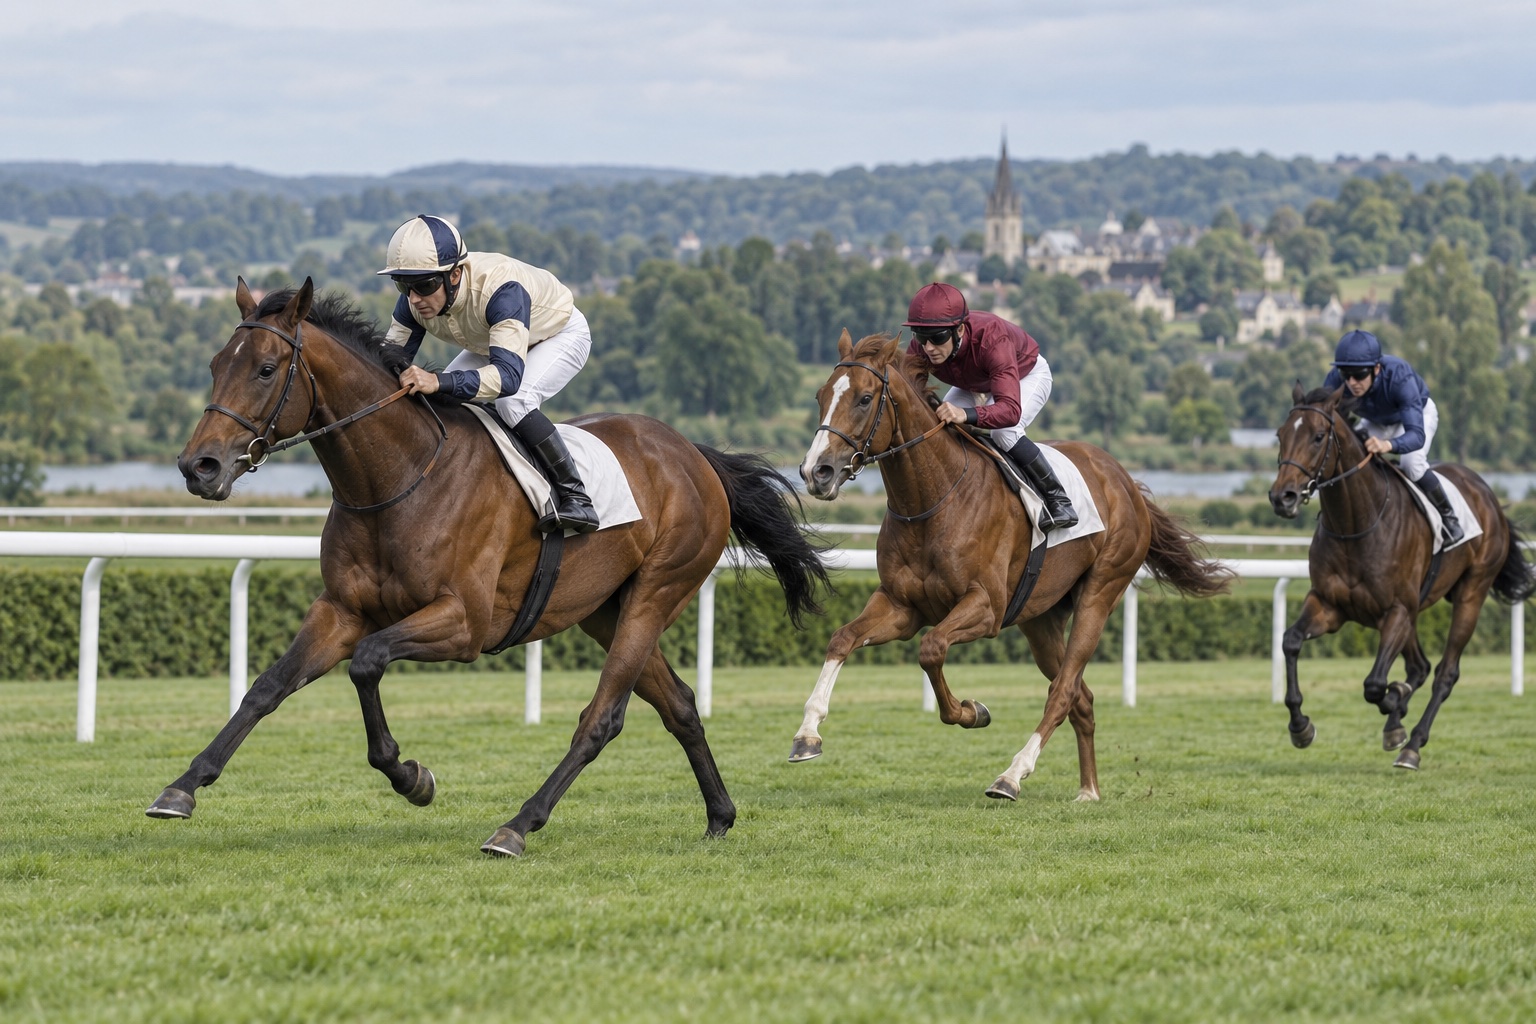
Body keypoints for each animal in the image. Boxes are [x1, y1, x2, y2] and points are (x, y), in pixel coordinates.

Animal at [148, 278, 829, 857]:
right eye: (216, 365)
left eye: (265, 369)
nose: (198, 467)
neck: (399, 478)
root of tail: (693, 454)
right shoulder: (340, 609)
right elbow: (268, 686)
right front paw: (181, 787)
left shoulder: (465, 623)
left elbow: (367, 662)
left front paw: (411, 776)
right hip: (604, 608)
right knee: (680, 704)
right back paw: (719, 815)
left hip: (658, 591)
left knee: (601, 718)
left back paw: (517, 826)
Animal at [794, 331, 1232, 800]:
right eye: (820, 395)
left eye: (864, 398)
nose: (815, 472)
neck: (933, 501)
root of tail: (1125, 480)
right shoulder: (901, 606)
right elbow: (842, 638)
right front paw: (807, 735)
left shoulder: (986, 608)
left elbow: (932, 649)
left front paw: (972, 711)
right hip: (1039, 619)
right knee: (1081, 697)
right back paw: (1088, 790)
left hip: (1100, 592)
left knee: (1063, 690)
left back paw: (1012, 775)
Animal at [1268, 383, 1534, 769]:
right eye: (1280, 435)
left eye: (1318, 437)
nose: (1282, 497)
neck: (1355, 525)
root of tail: (1489, 496)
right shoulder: (1330, 605)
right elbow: (1290, 641)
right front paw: (1300, 726)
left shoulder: (1395, 610)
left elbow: (1375, 684)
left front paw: (1395, 709)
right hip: (1413, 610)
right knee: (1420, 667)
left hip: (1471, 592)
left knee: (1444, 673)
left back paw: (1412, 745)